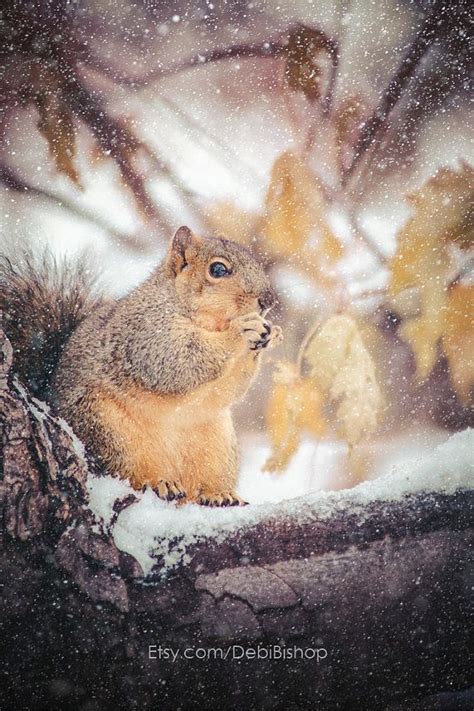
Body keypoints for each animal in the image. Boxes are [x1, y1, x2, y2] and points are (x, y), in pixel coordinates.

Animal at [0, 227, 282, 506]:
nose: (268, 300)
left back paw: (219, 494)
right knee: (131, 471)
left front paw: (269, 336)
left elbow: (229, 389)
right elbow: (181, 359)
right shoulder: (147, 334)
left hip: (218, 448)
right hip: (110, 431)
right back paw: (160, 482)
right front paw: (241, 331)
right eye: (218, 269)